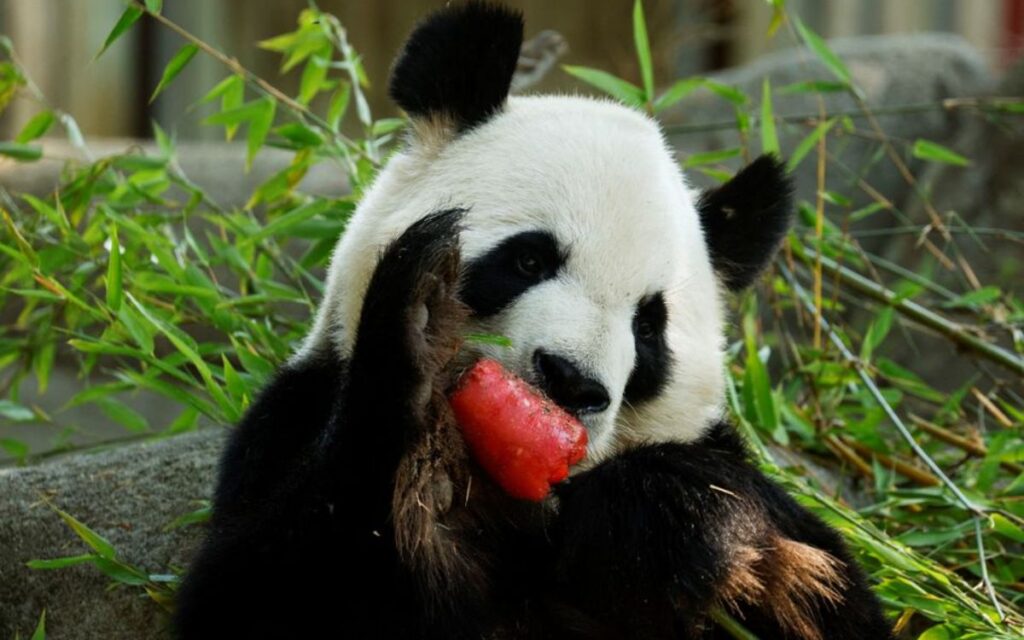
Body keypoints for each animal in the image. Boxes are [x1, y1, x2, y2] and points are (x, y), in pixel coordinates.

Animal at [172, 4, 892, 638]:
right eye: (528, 259)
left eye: (648, 327)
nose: (571, 382)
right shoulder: (293, 420)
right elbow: (263, 589)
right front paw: (418, 336)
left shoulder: (733, 474)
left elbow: (829, 588)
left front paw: (677, 519)